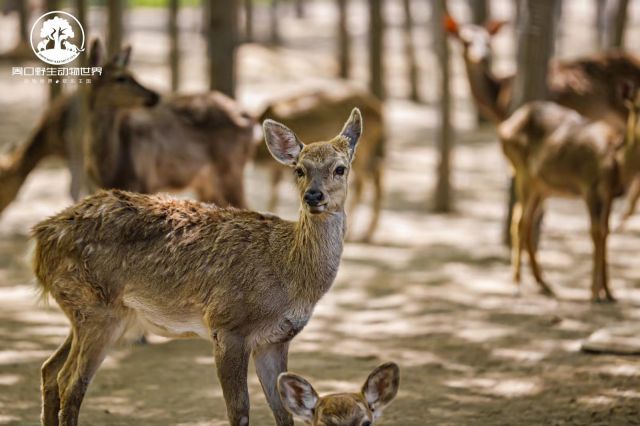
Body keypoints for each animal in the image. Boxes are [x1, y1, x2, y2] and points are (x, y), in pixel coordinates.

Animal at [32, 107, 362, 426]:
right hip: (97, 309)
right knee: (70, 383)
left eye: (340, 168)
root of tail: (41, 239)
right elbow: (239, 411)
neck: (290, 274)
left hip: (90, 311)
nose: (313, 195)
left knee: (50, 369)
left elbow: (283, 413)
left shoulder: (275, 340)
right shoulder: (227, 325)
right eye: (299, 170)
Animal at [255, 89, 384, 243]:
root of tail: (379, 110)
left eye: (340, 169)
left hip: (364, 149)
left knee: (364, 179)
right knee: (376, 171)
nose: (313, 196)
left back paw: (359, 233)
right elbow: (275, 189)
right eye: (299, 170)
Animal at [498, 84, 640, 302]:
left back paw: (544, 284)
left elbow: (606, 232)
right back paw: (516, 284)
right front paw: (595, 293)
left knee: (526, 221)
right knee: (520, 221)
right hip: (523, 173)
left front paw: (609, 292)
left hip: (542, 186)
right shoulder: (590, 186)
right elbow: (596, 233)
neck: (619, 165)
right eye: (637, 107)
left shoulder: (608, 195)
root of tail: (504, 126)